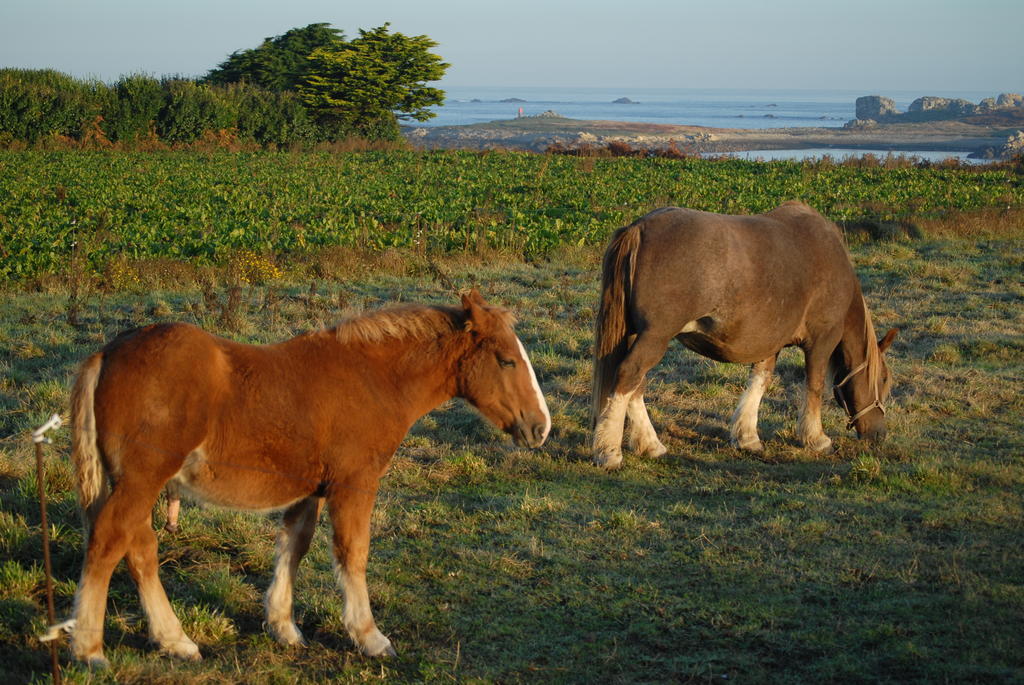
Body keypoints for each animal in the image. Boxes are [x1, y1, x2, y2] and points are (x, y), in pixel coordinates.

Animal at [67, 286, 548, 663]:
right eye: (507, 361)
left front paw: (284, 627)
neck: (373, 380)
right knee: (109, 540)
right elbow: (353, 553)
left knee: (138, 547)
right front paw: (369, 637)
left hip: (134, 483)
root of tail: (106, 353)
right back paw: (90, 650)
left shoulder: (310, 488)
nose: (540, 428)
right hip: (141, 480)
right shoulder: (355, 482)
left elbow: (294, 546)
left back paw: (175, 640)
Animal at [593, 200, 897, 466]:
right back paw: (609, 453)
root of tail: (639, 228)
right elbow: (814, 385)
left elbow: (760, 381)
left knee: (635, 385)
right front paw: (816, 438)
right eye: (883, 379)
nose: (880, 434)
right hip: (655, 337)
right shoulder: (821, 341)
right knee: (628, 375)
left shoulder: (770, 342)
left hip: (636, 335)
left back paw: (649, 445)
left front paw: (747, 437)